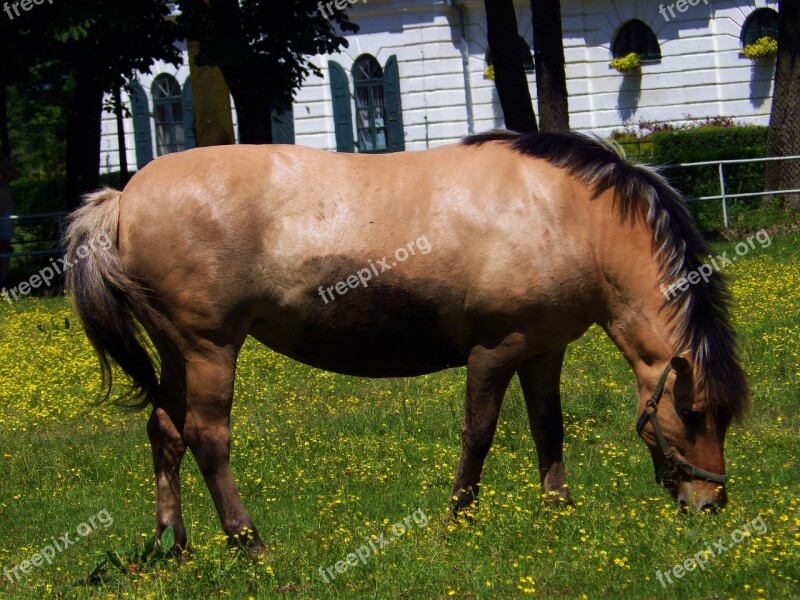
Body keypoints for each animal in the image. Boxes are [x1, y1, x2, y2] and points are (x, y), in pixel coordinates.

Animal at [67, 129, 752, 556]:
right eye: (692, 413)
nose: (710, 504)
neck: (567, 217)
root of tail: (123, 197)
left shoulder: (542, 350)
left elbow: (548, 430)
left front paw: (559, 512)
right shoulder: (496, 350)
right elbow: (479, 435)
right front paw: (458, 521)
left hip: (177, 352)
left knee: (165, 431)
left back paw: (174, 545)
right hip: (209, 348)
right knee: (208, 439)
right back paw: (249, 544)